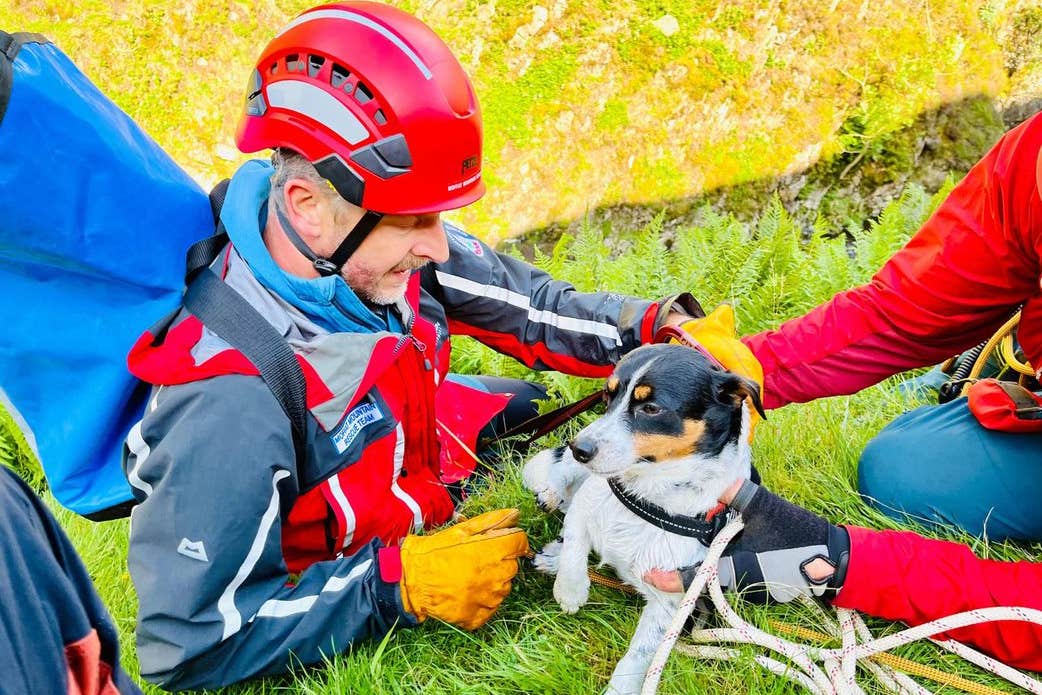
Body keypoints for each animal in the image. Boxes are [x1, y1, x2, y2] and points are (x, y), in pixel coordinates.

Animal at [525, 341, 762, 695]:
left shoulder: (670, 601)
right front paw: (570, 591)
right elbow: (575, 548)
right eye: (607, 396)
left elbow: (637, 657)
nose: (580, 447)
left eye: (651, 408)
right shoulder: (586, 504)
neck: (646, 495)